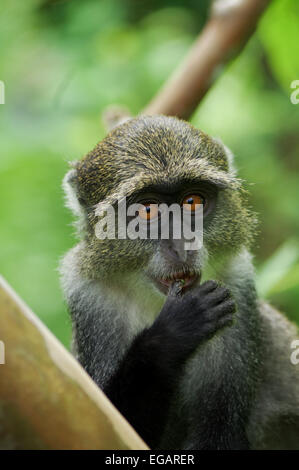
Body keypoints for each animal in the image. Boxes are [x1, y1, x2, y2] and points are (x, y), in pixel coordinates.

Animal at [60, 114, 299, 452]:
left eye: (192, 202)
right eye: (147, 210)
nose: (183, 243)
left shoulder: (237, 281)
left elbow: (219, 434)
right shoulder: (89, 297)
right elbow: (100, 425)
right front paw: (173, 332)